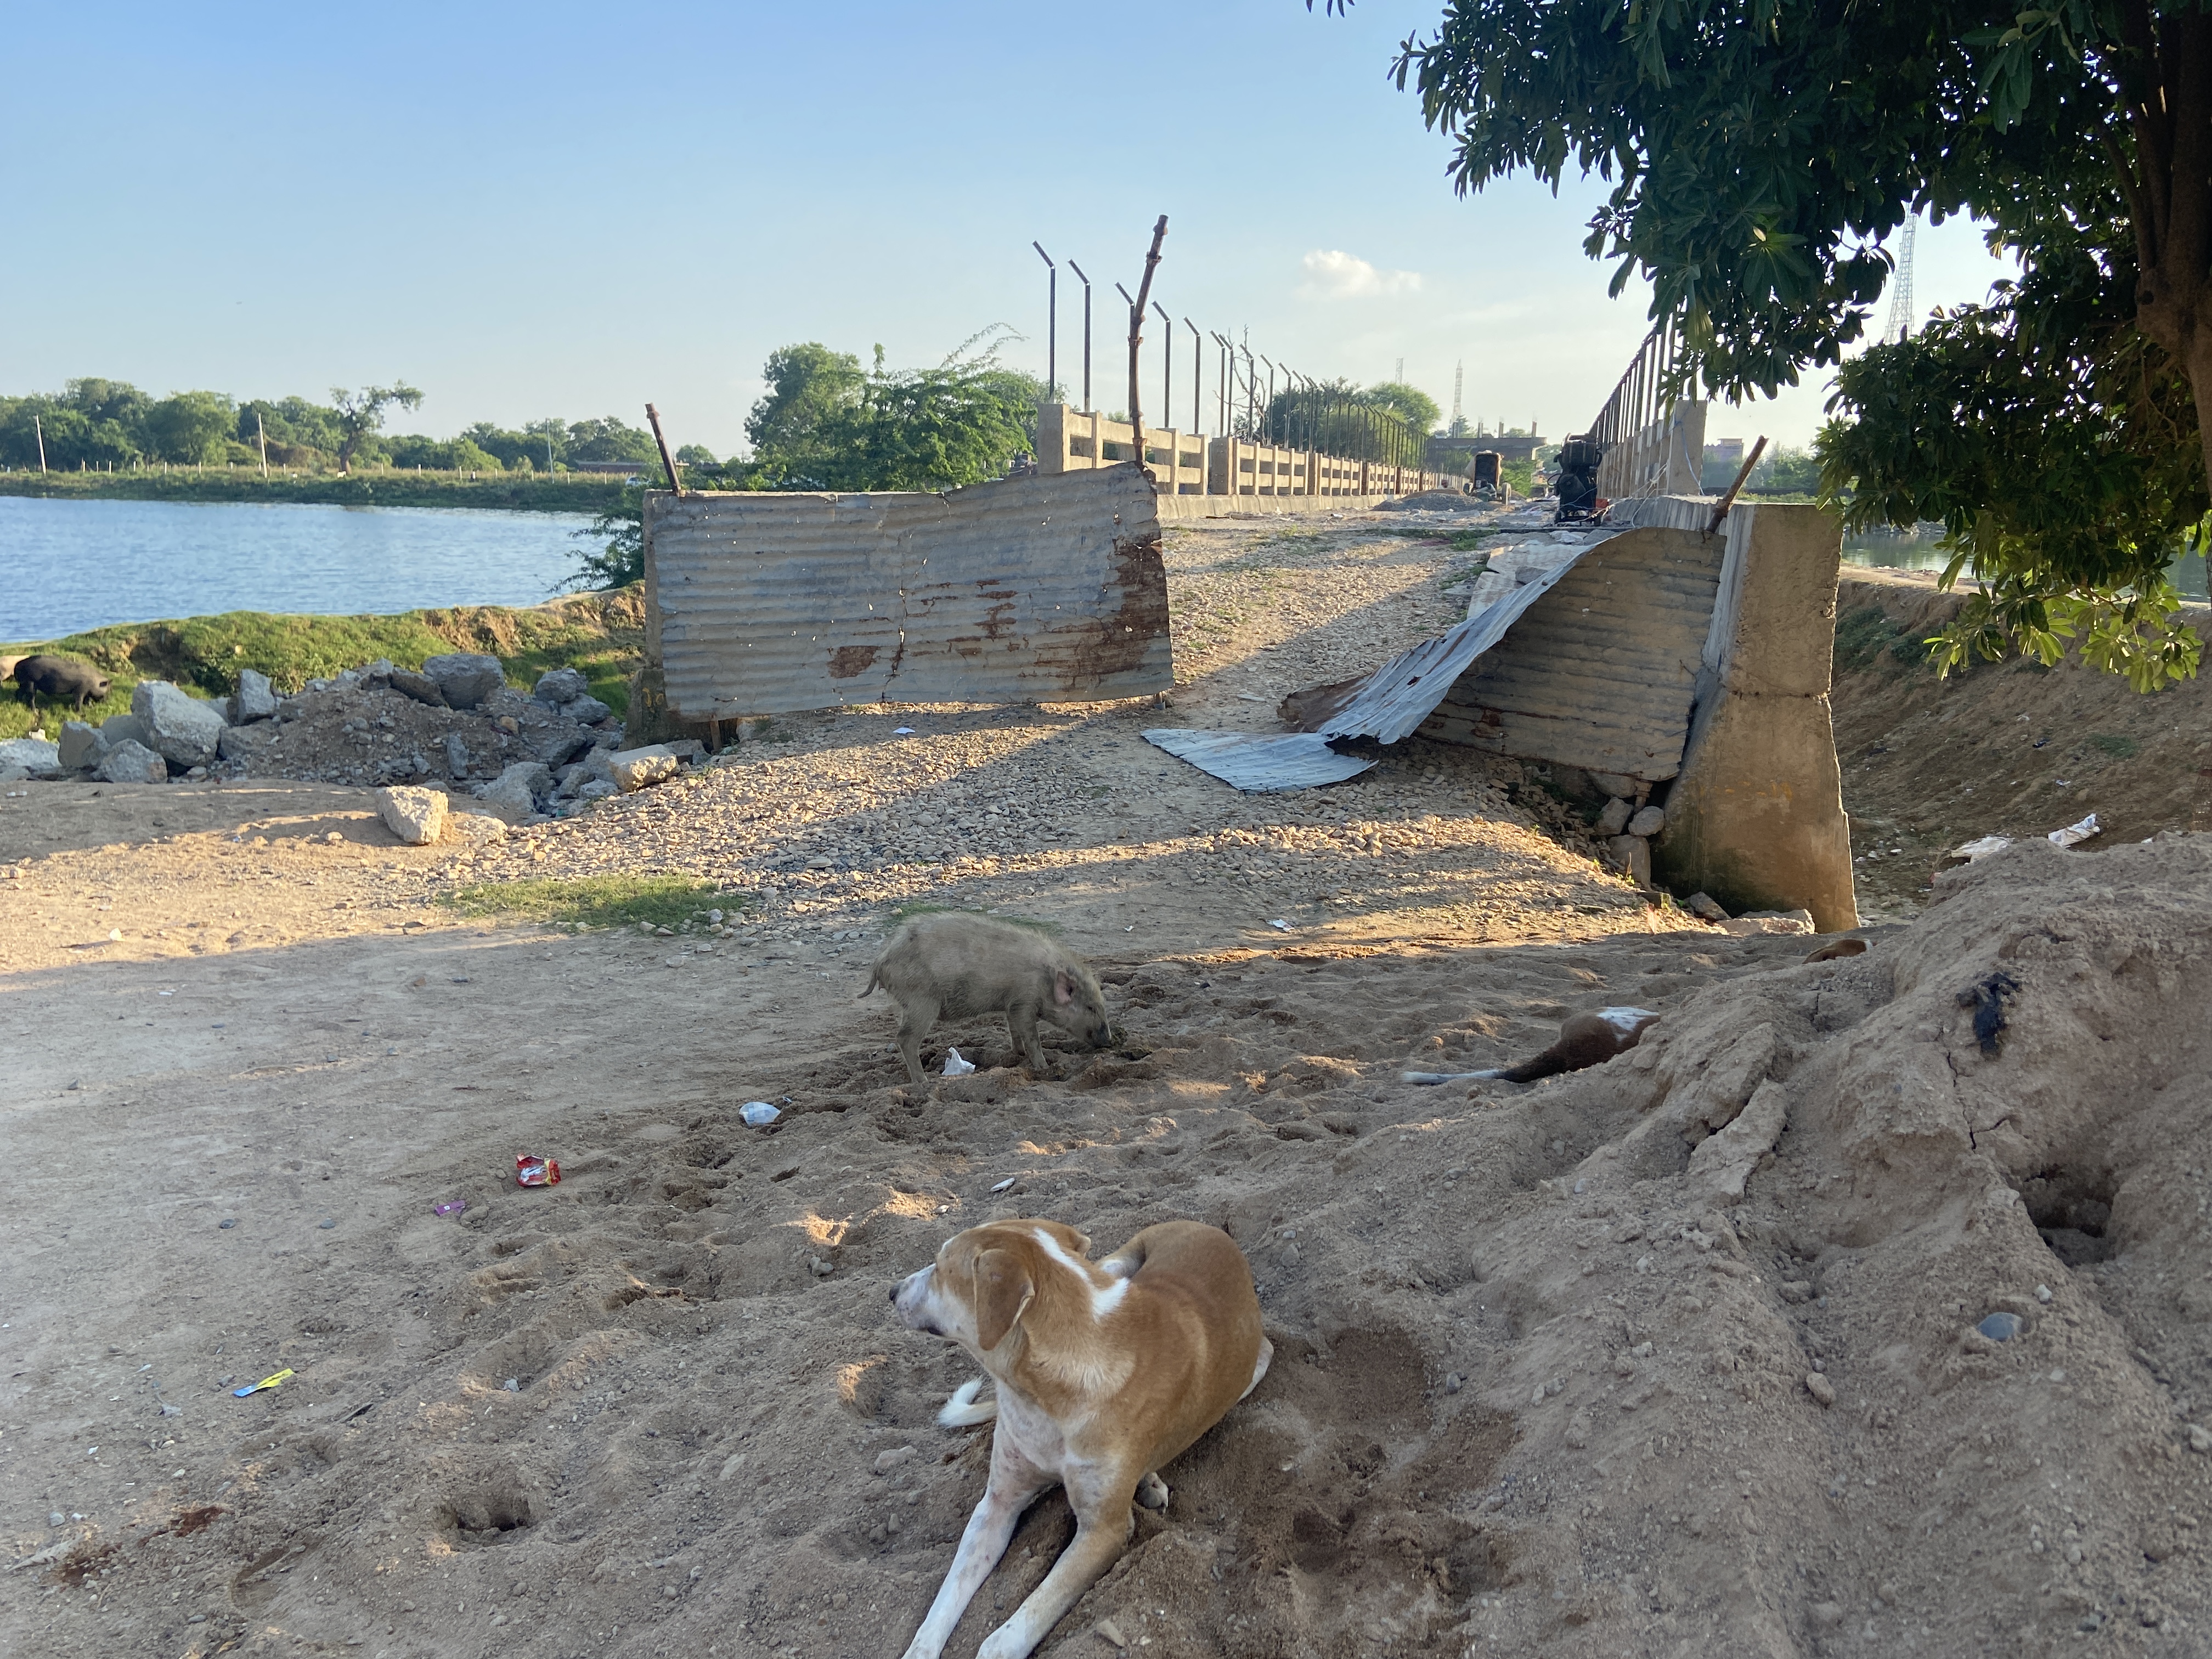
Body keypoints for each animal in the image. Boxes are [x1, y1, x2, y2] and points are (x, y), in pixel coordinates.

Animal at [880, 1221, 1265, 1659]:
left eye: (942, 1268)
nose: (892, 1290)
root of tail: (1207, 1228)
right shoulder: (996, 1505)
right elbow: (941, 1608)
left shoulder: (1103, 1533)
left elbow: (1004, 1638)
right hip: (1112, 1264)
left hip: (1254, 1368)